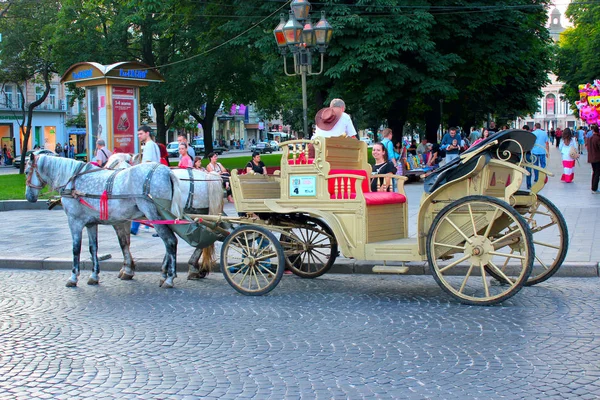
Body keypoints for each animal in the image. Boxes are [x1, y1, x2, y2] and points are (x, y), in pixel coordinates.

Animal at [25, 153, 184, 288]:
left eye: (26, 172)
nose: (29, 197)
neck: (73, 182)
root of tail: (167, 171)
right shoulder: (91, 223)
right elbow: (93, 248)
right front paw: (94, 275)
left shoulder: (74, 221)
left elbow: (76, 249)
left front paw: (73, 277)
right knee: (169, 242)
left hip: (154, 214)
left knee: (170, 241)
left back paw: (169, 278)